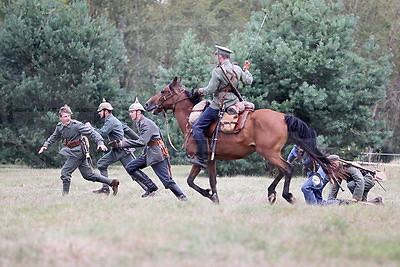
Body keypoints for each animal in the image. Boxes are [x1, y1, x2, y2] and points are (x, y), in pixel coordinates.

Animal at [145, 77, 332, 205]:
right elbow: (211, 181)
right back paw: (271, 193)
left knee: (287, 168)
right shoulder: (211, 160)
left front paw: (209, 195)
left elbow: (190, 181)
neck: (192, 119)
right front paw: (215, 198)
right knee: (283, 169)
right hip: (272, 153)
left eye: (163, 91)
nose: (148, 104)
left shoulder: (199, 160)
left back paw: (287, 196)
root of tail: (283, 117)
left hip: (269, 153)